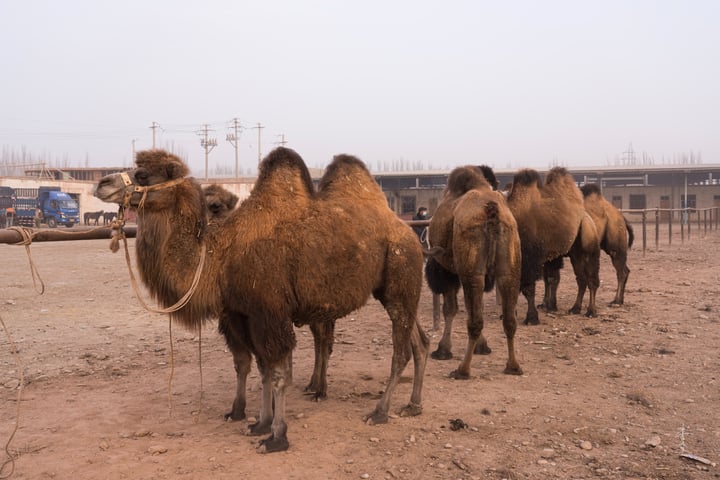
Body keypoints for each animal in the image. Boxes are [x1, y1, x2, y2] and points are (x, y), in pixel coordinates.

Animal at [94, 148, 429, 454]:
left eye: (143, 174)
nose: (102, 183)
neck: (220, 258)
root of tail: (407, 231)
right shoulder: (244, 314)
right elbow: (261, 367)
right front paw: (259, 423)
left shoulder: (270, 313)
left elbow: (278, 374)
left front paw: (276, 436)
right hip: (392, 291)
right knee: (418, 341)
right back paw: (413, 405)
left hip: (401, 274)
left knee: (399, 350)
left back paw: (379, 412)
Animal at [424, 165, 522, 378]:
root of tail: (492, 211)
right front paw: (483, 347)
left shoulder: (449, 272)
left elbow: (450, 309)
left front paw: (443, 350)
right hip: (509, 269)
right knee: (509, 320)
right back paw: (513, 366)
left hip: (471, 273)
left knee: (475, 321)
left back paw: (462, 369)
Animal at [506, 167, 600, 324]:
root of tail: (587, 216)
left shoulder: (529, 259)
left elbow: (528, 288)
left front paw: (531, 318)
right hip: (575, 254)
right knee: (581, 279)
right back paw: (575, 308)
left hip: (589, 247)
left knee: (592, 279)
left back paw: (591, 311)